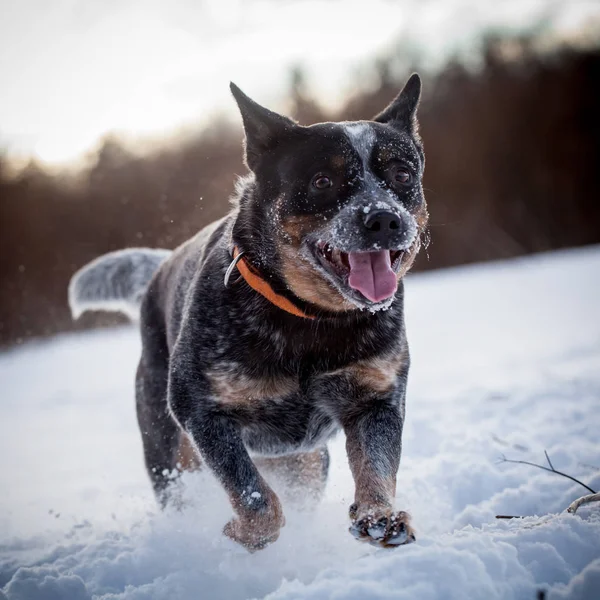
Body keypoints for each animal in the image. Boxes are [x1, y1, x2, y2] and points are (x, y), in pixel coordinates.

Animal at [69, 76, 426, 552]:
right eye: (322, 180)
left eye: (402, 175)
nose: (384, 219)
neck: (309, 321)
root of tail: (160, 268)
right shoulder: (201, 411)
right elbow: (253, 496)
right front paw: (245, 533)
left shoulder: (375, 397)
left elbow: (378, 465)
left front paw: (379, 517)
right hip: (168, 448)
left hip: (307, 463)